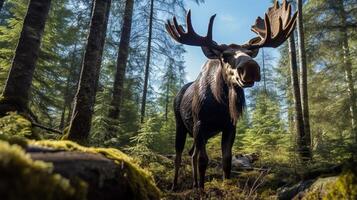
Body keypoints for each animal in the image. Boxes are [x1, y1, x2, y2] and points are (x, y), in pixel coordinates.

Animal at [165, 0, 296, 189]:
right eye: (225, 56)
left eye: (249, 54)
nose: (251, 67)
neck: (220, 103)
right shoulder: (200, 124)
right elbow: (204, 160)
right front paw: (202, 190)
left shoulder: (229, 127)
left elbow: (226, 160)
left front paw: (222, 185)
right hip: (181, 125)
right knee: (179, 154)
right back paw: (175, 185)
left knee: (192, 153)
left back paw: (195, 183)